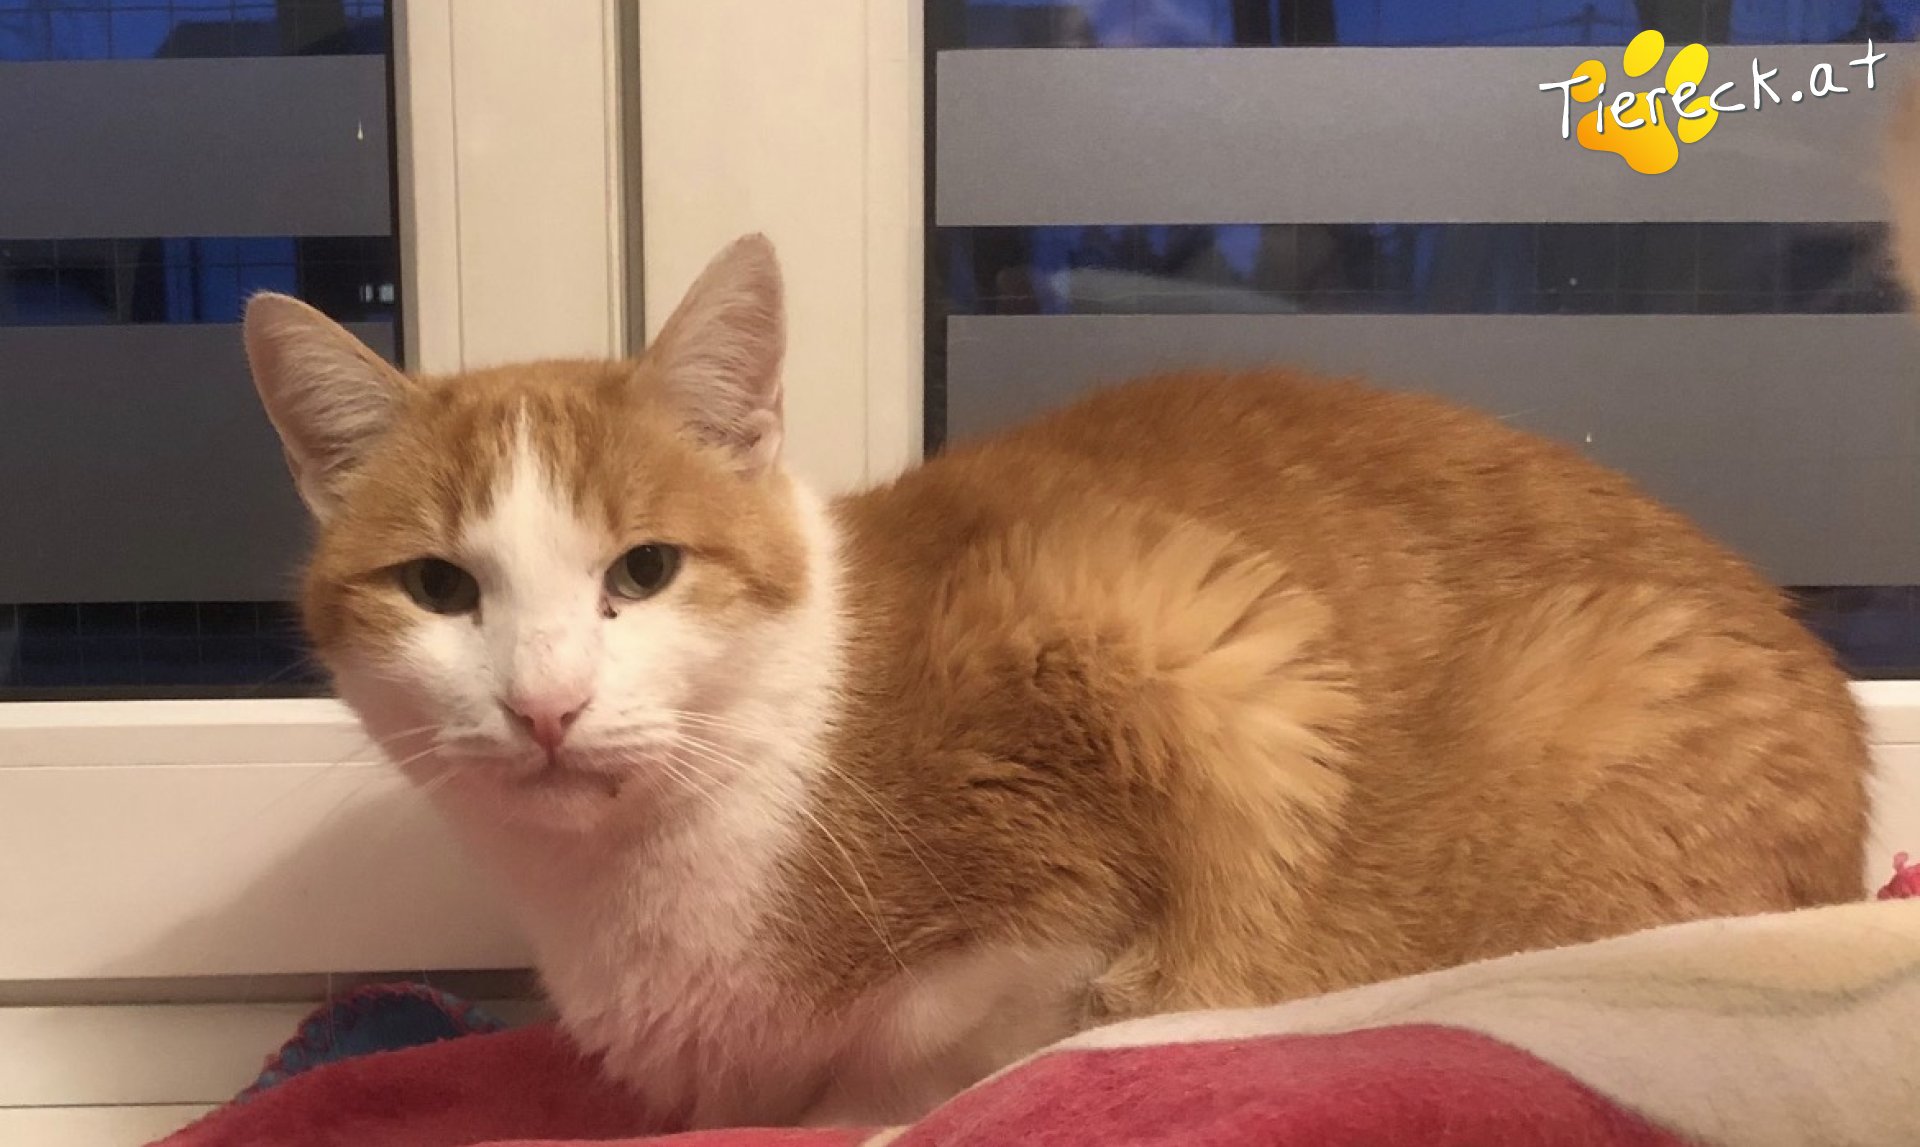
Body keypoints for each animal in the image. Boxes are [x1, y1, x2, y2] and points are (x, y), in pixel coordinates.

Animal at [242, 230, 1876, 1127]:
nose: (546, 704)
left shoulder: (1183, 656)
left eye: (640, 570)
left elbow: (951, 1055)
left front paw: (861, 1106)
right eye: (442, 587)